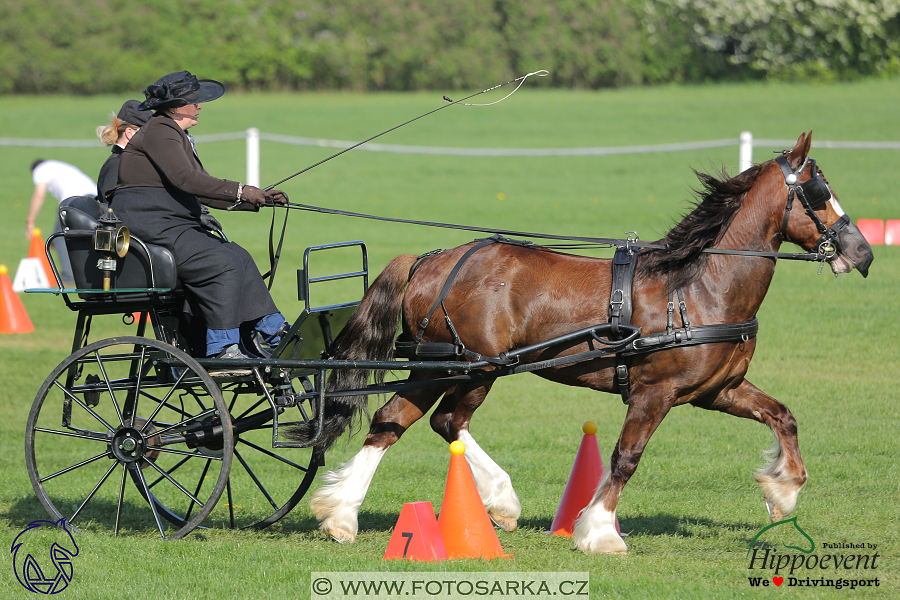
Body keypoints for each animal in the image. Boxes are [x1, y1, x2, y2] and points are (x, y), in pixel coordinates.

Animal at [298, 134, 872, 556]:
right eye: (818, 192)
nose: (862, 252)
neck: (695, 287)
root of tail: (430, 259)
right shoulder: (654, 393)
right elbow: (625, 458)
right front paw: (598, 530)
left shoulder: (719, 390)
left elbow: (782, 416)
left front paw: (784, 492)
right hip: (461, 367)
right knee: (406, 419)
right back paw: (348, 513)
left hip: (463, 370)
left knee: (432, 422)